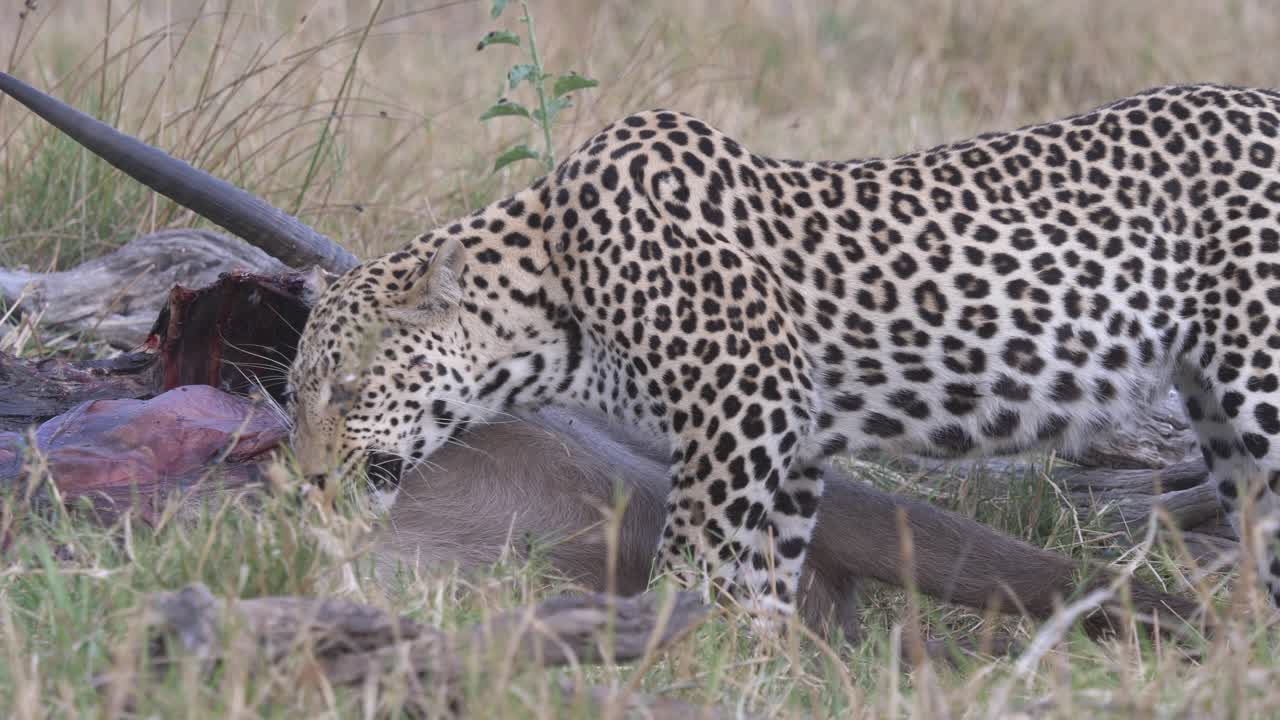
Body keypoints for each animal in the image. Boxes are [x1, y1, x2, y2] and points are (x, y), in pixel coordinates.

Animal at [286, 82, 1280, 620]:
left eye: (348, 388)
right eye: (296, 395)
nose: (310, 480)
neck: (552, 288)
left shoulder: (742, 401)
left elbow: (692, 552)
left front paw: (658, 650)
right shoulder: (790, 437)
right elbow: (765, 572)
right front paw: (746, 663)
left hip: (1259, 374)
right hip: (1218, 409)